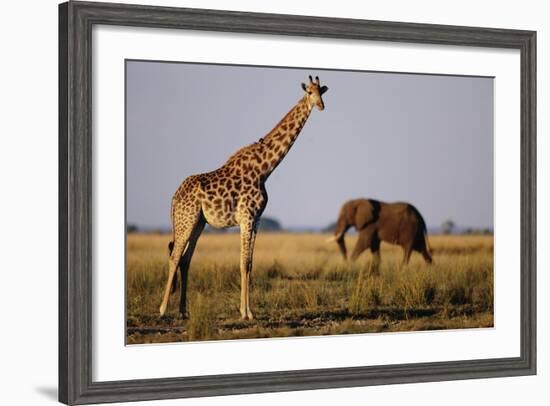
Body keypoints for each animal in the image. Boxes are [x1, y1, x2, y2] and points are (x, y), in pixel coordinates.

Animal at [157, 74, 330, 318]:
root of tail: (174, 197)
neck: (265, 169)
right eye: (309, 92)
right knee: (174, 256)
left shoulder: (256, 219)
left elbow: (249, 263)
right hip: (186, 219)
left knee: (185, 259)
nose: (321, 106)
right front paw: (245, 313)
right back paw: (163, 309)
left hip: (199, 222)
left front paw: (249, 311)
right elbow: (242, 262)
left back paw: (183, 311)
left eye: (321, 92)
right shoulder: (246, 216)